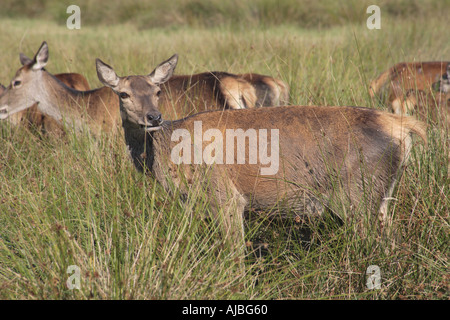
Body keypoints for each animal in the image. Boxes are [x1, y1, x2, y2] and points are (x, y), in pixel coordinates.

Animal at [96, 55, 428, 254]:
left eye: (158, 91)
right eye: (123, 93)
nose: (153, 117)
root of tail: (402, 127)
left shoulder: (225, 196)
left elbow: (234, 254)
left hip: (358, 194)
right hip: (381, 198)